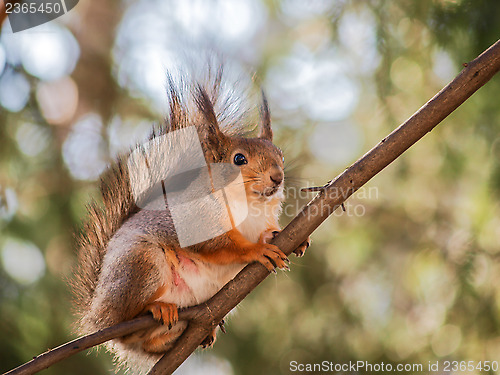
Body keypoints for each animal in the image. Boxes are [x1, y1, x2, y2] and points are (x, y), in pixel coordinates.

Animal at [71, 67, 308, 374]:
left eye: (281, 155)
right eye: (239, 159)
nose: (277, 177)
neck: (252, 205)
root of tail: (97, 315)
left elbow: (266, 232)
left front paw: (283, 238)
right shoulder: (196, 221)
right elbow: (221, 245)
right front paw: (256, 249)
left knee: (147, 344)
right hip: (140, 264)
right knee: (126, 320)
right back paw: (154, 308)